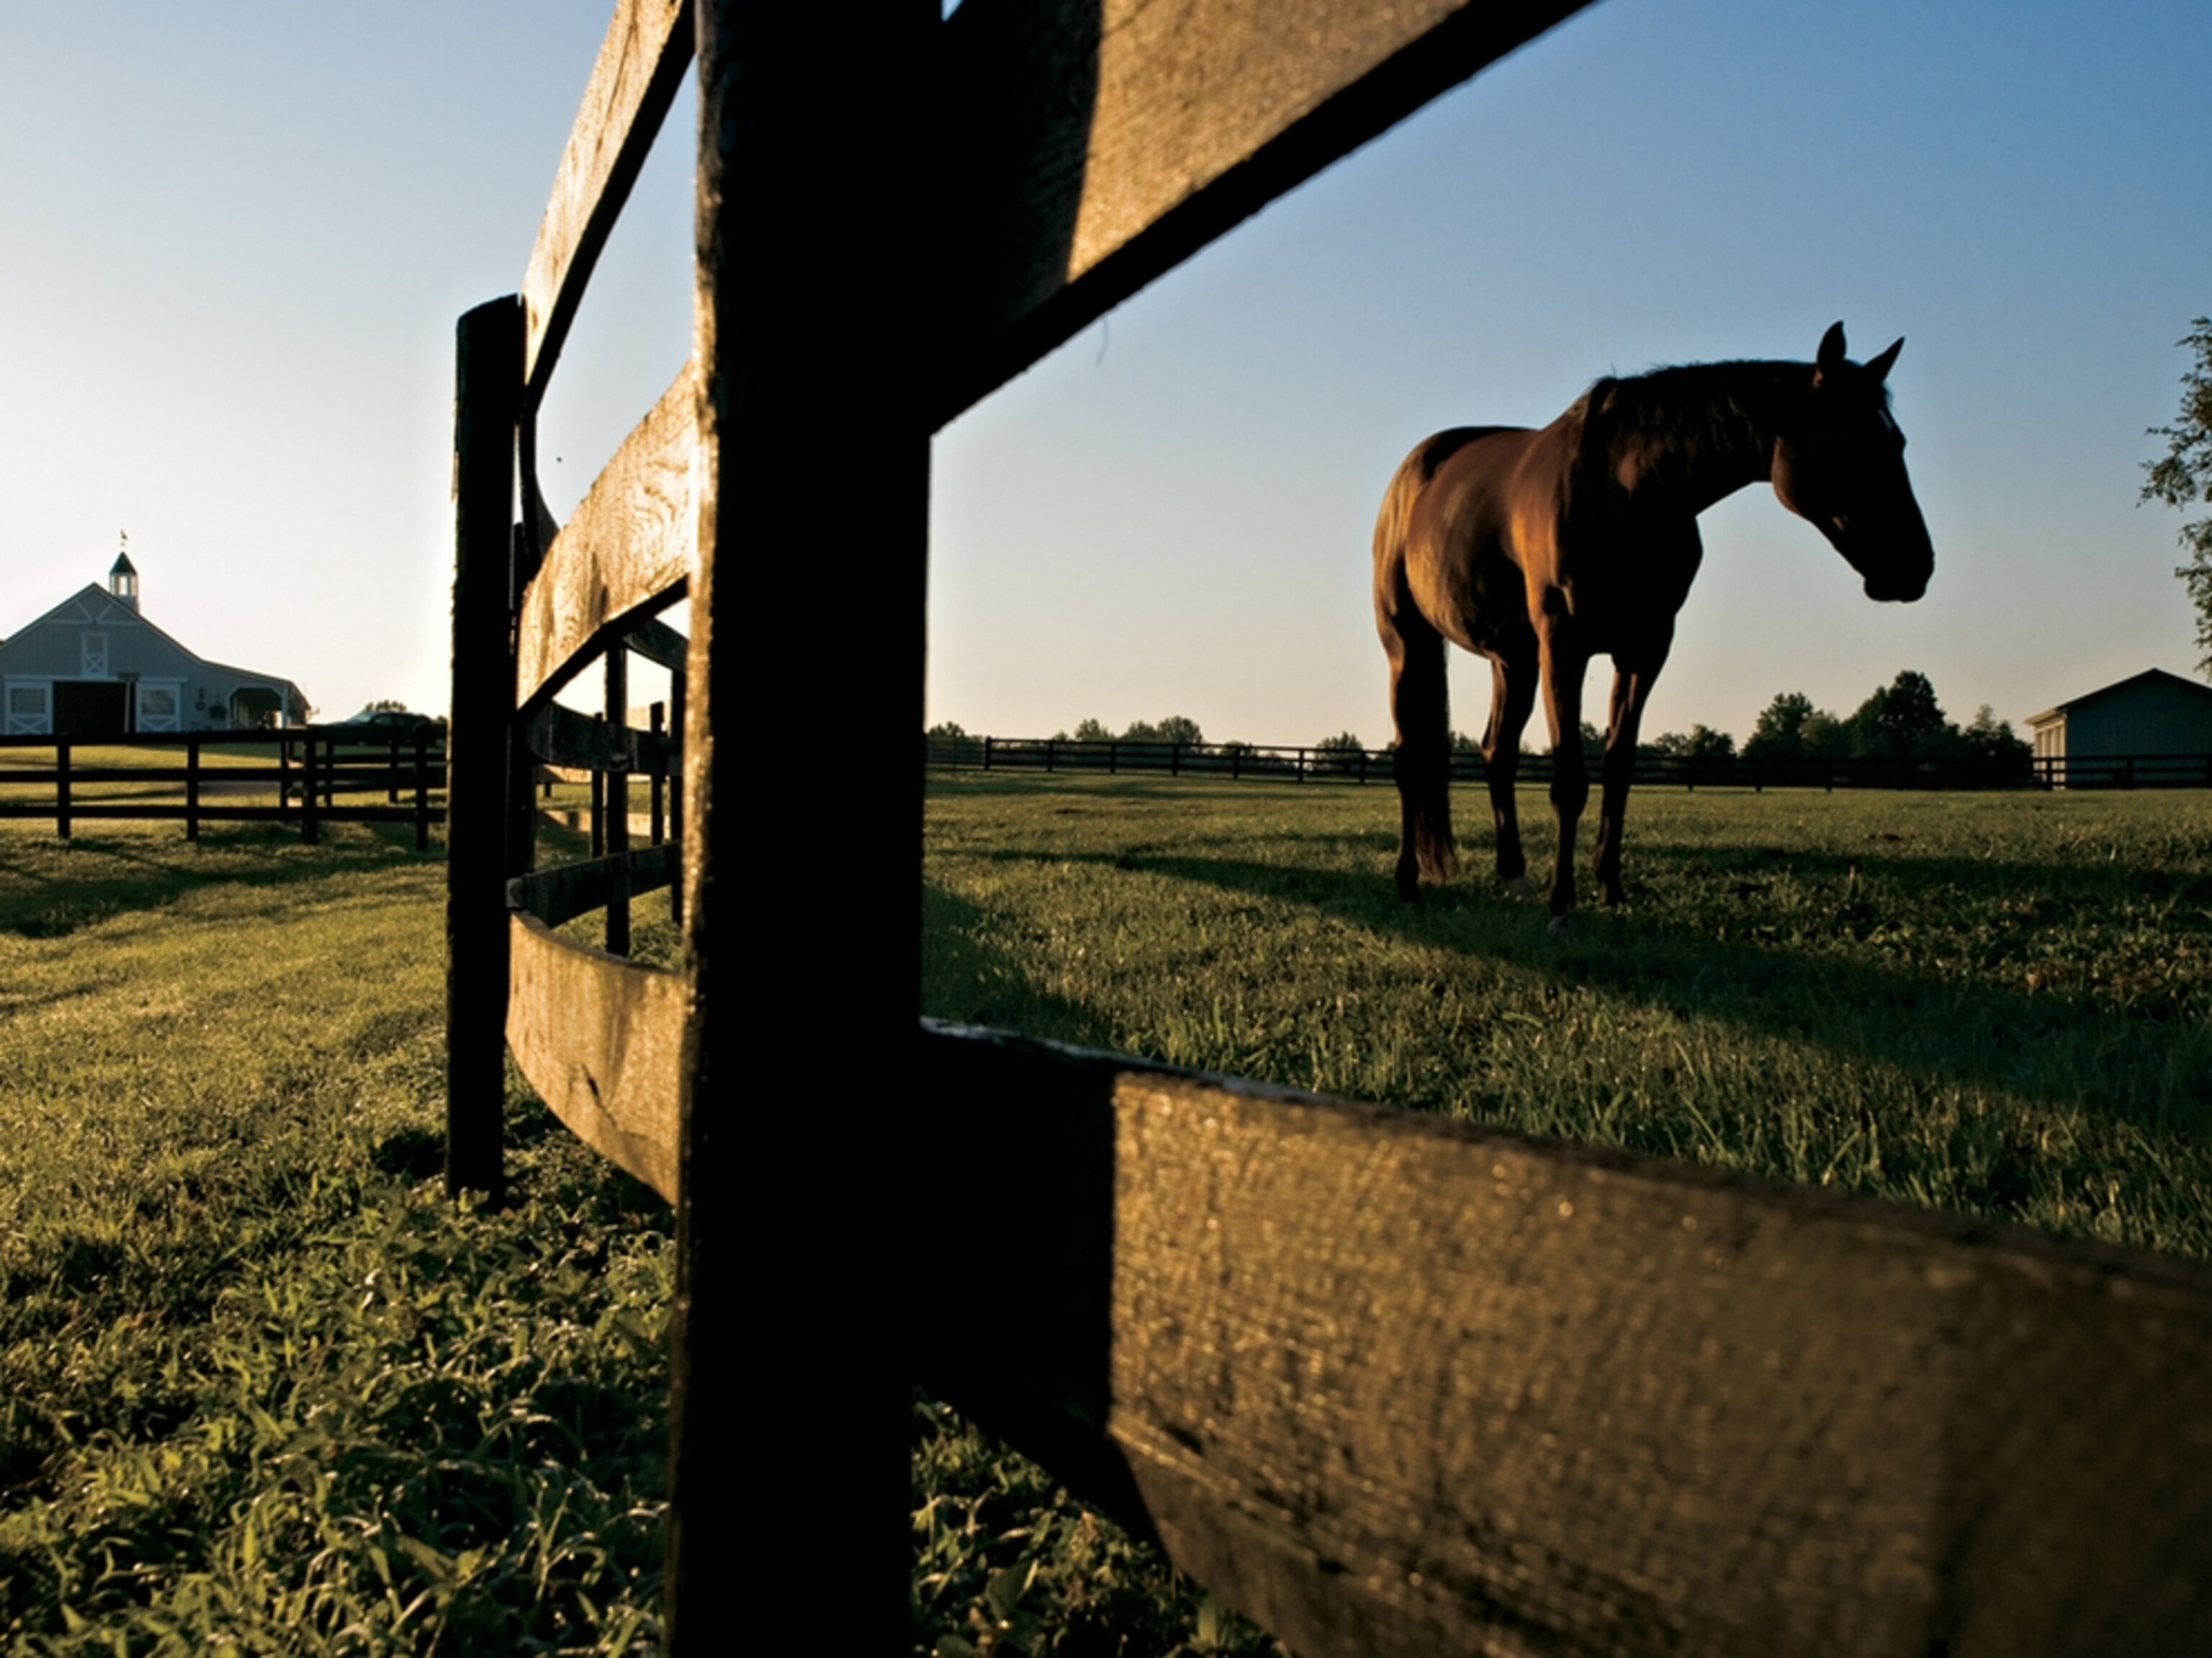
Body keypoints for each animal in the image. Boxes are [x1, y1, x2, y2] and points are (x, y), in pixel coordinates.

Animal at [1373, 322, 1933, 917]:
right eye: (1853, 442)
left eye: (1898, 442)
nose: (1916, 566)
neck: (1626, 490)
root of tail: (1417, 471)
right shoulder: (1564, 646)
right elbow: (1570, 780)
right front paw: (1562, 903)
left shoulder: (1644, 649)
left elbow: (1619, 771)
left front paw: (1610, 888)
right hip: (1408, 644)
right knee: (1410, 759)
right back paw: (1408, 879)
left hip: (1513, 660)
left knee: (1496, 754)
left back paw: (1514, 876)